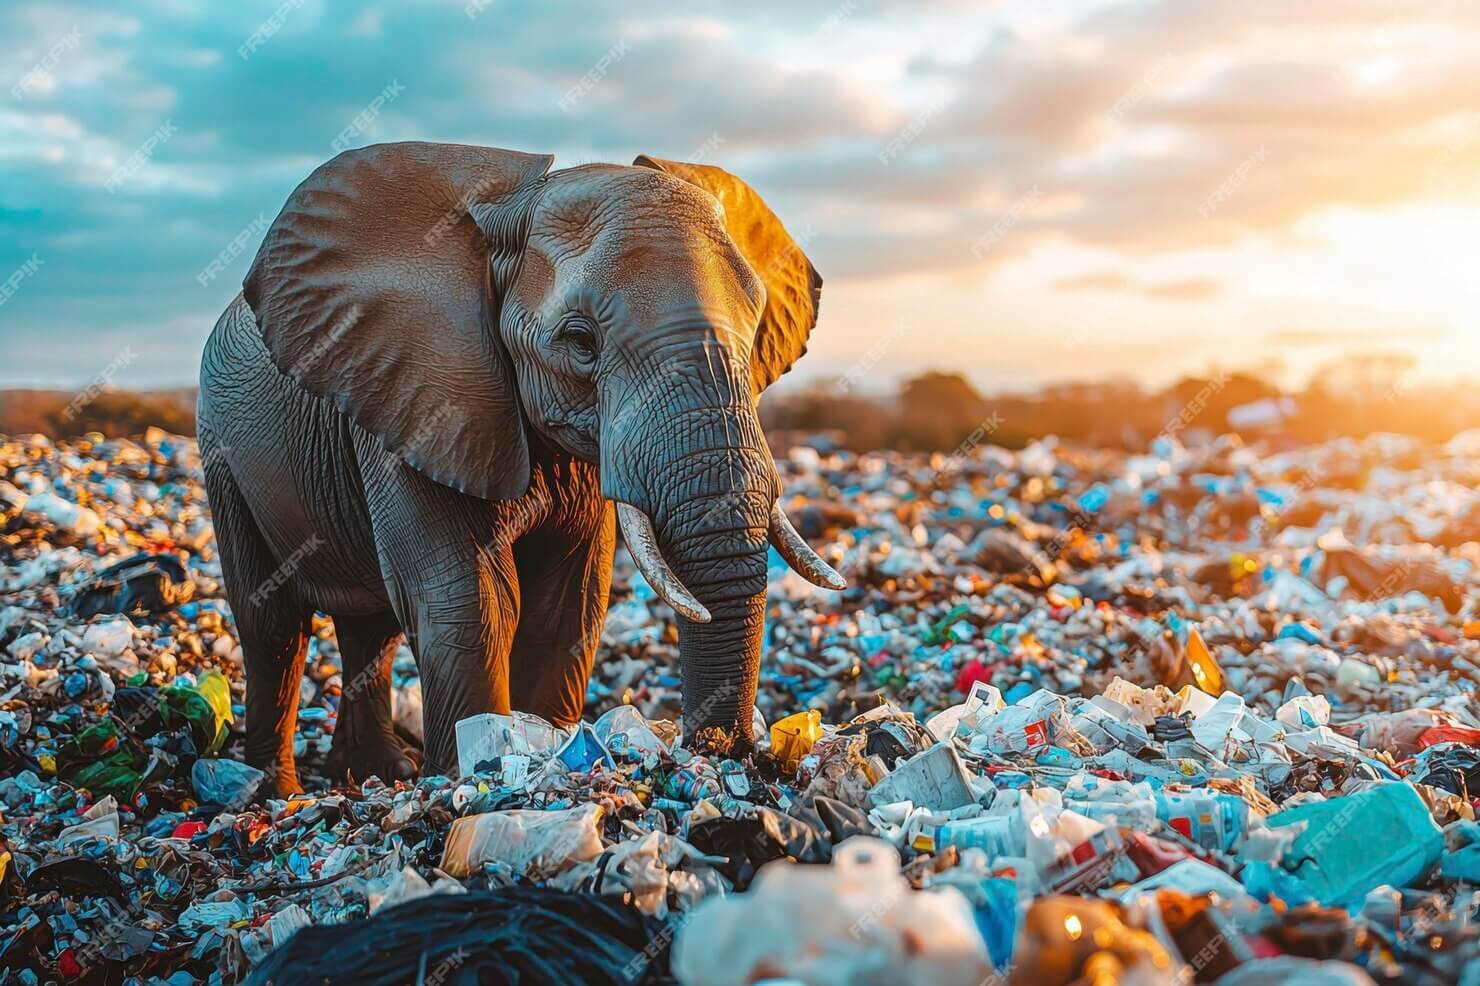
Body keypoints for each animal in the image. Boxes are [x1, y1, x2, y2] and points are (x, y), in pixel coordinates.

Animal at [196, 141, 845, 794]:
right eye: (581, 342)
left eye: (757, 329)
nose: (723, 751)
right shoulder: (413, 392)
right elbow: (471, 598)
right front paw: (472, 777)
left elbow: (567, 601)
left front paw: (543, 753)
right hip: (220, 447)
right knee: (273, 624)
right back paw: (272, 791)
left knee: (370, 628)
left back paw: (377, 773)